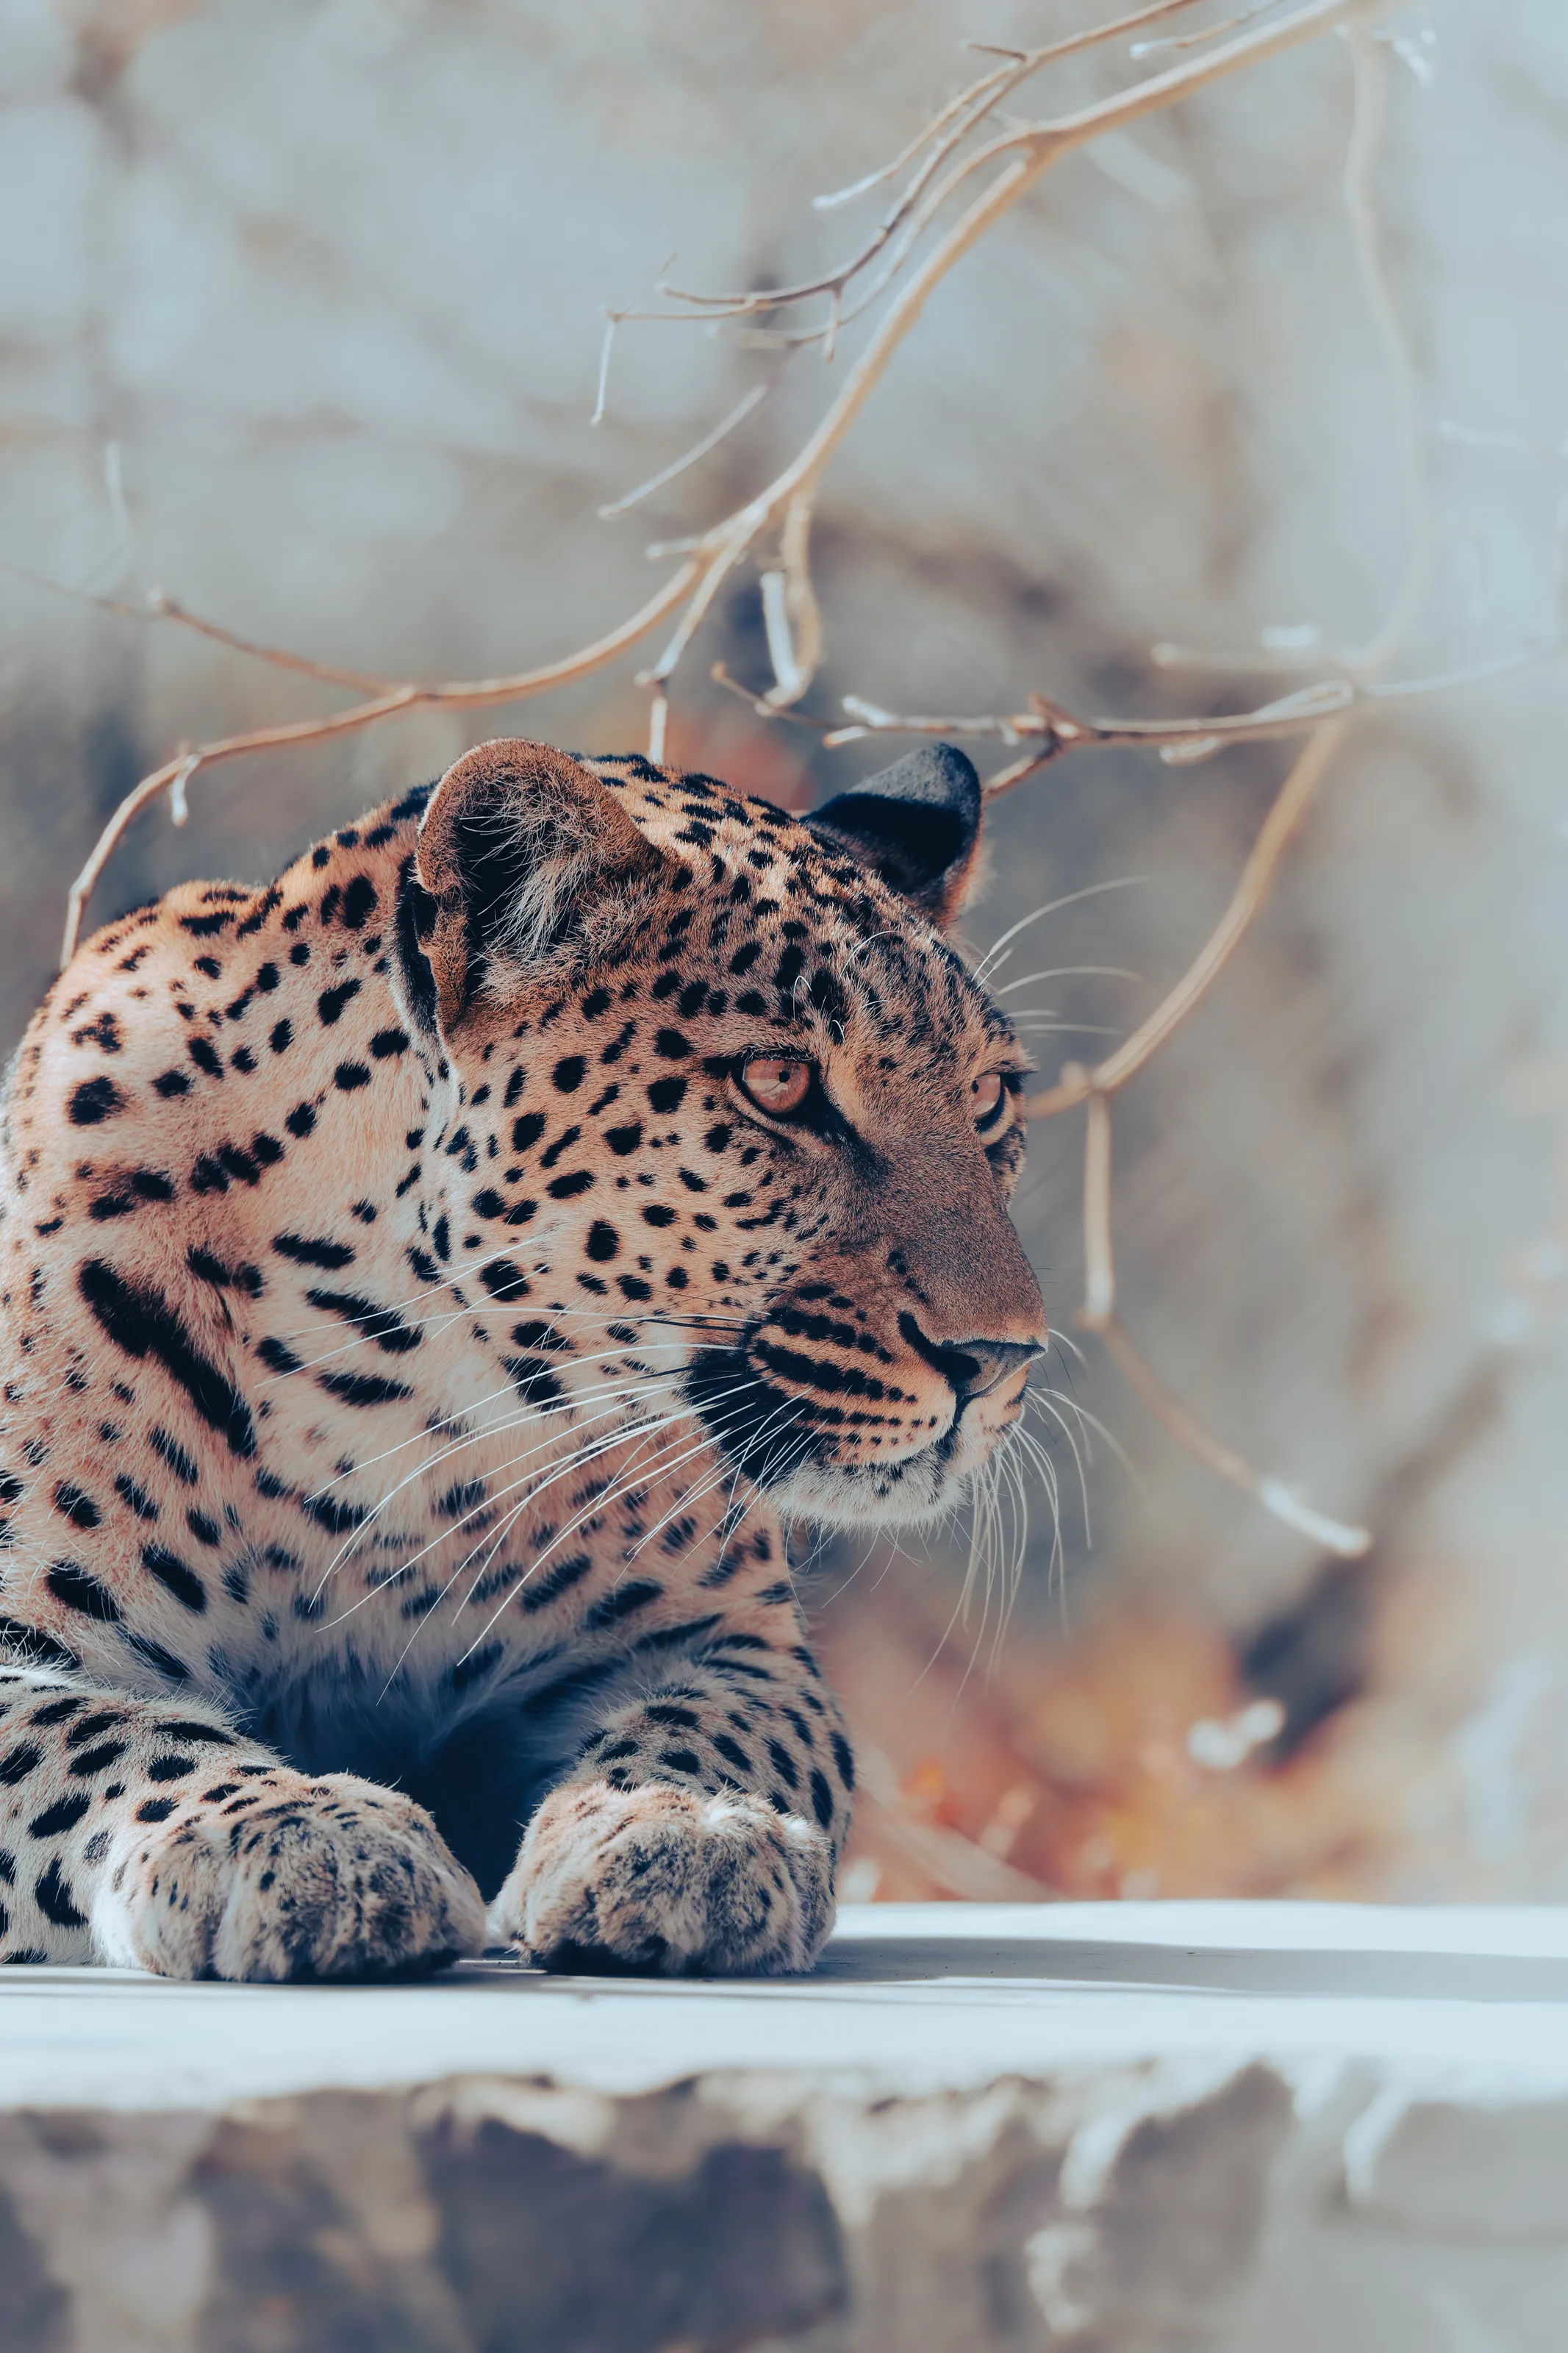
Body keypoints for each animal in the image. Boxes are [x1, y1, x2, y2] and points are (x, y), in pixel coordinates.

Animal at [0, 734, 1046, 1980]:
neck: (393, 1398)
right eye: (778, 1086)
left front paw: (683, 1833)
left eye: (988, 1099)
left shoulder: (726, 1640)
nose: (997, 1356)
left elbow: (720, 1735)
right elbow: (107, 1739)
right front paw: (298, 1836)